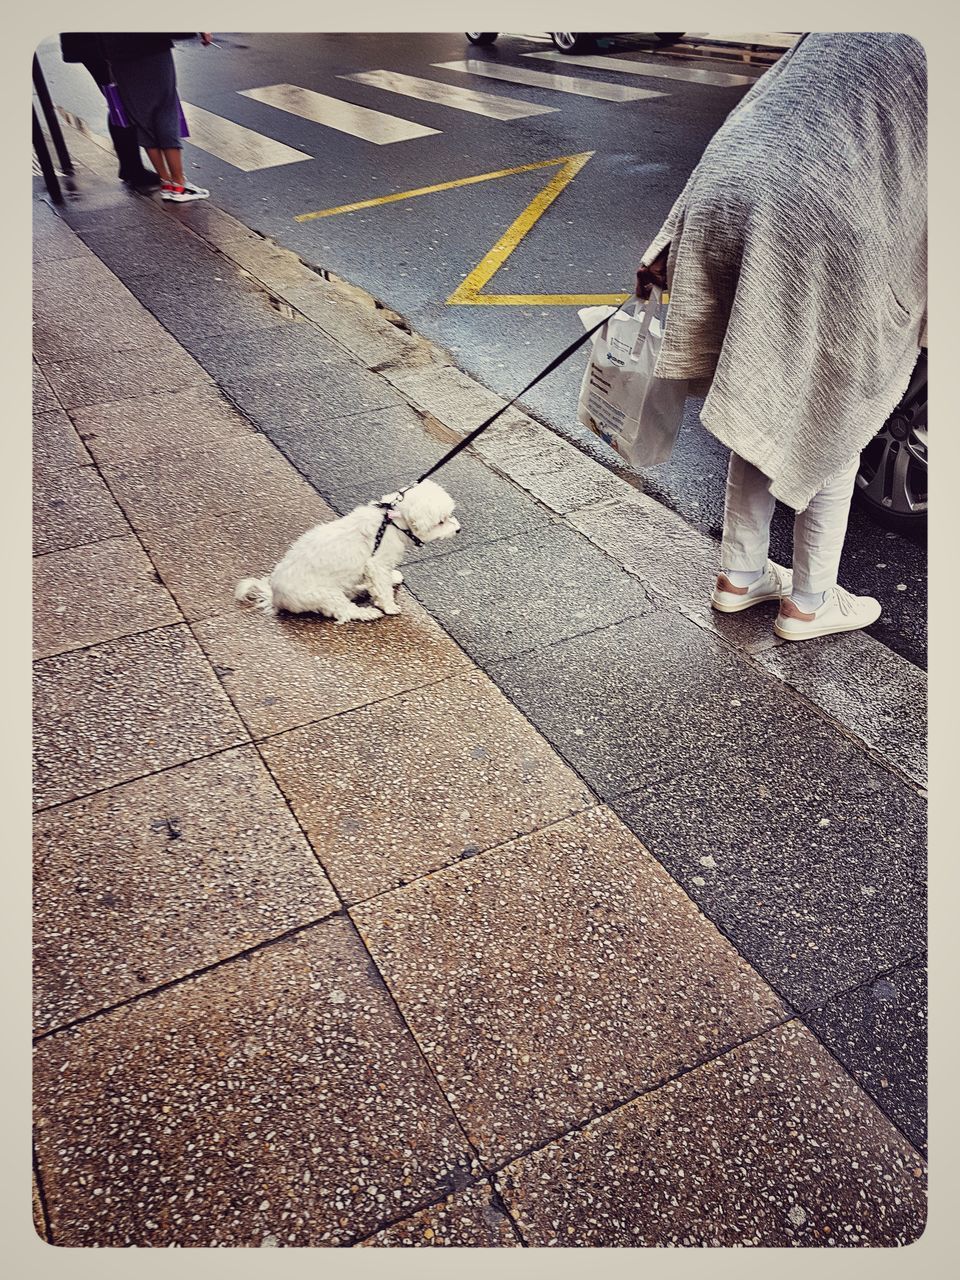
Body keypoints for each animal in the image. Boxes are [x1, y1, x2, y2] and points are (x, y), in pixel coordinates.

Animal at [234, 478, 458, 622]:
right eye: (441, 521)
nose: (458, 529)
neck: (392, 523)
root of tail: (275, 596)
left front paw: (392, 579)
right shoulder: (377, 564)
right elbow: (382, 587)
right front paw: (389, 606)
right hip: (325, 595)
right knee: (345, 612)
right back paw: (368, 613)